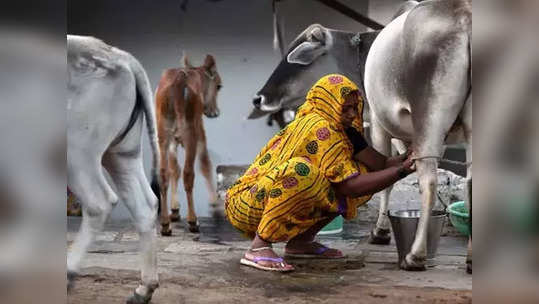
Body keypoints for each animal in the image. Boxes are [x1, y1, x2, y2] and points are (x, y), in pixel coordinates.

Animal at [67, 35, 160, 302]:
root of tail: (119, 55)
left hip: (77, 151)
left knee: (99, 203)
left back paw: (68, 271)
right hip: (123, 153)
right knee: (145, 205)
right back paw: (143, 289)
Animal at [155, 54, 223, 235]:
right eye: (219, 86)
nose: (215, 112)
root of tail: (179, 81)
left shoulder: (172, 140)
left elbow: (174, 169)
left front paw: (175, 210)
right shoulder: (199, 131)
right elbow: (205, 163)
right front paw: (216, 206)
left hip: (163, 135)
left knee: (164, 173)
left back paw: (165, 224)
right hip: (190, 133)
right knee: (188, 173)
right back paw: (193, 221)